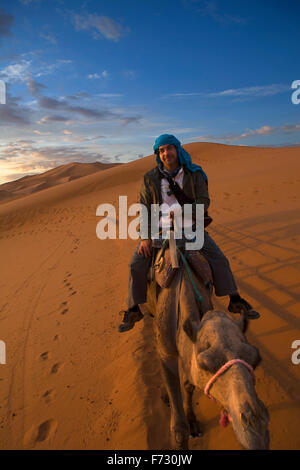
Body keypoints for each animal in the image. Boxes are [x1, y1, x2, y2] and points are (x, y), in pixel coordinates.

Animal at [142, 244, 270, 450]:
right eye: (206, 365)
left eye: (255, 359)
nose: (256, 428)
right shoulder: (167, 350)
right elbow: (179, 429)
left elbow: (188, 384)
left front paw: (193, 422)